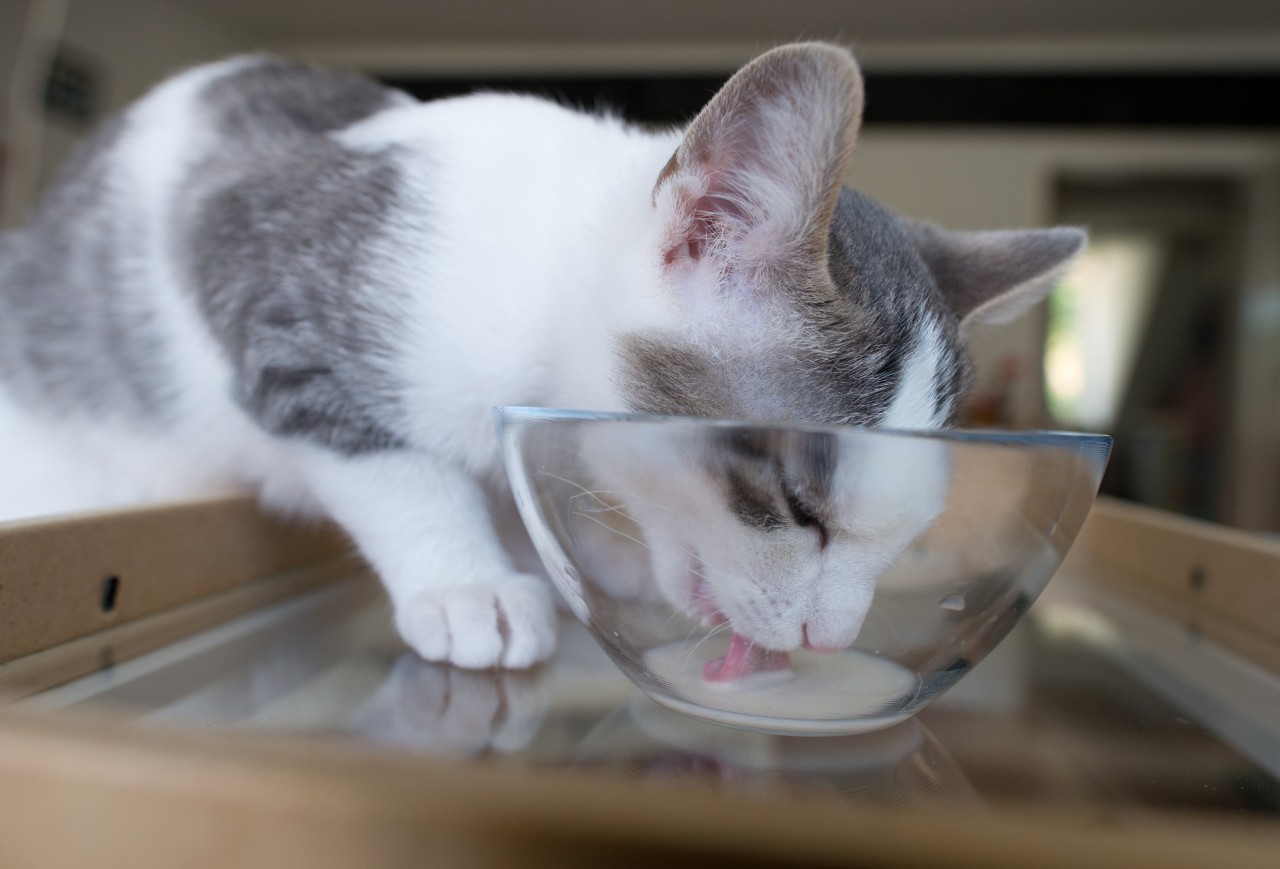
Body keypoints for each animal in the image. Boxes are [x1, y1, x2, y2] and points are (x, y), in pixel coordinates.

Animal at [0, 44, 1085, 670]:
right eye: (793, 505)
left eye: (917, 527)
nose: (835, 636)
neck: (540, 263)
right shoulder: (243, 254)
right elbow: (389, 459)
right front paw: (466, 581)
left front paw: (591, 546)